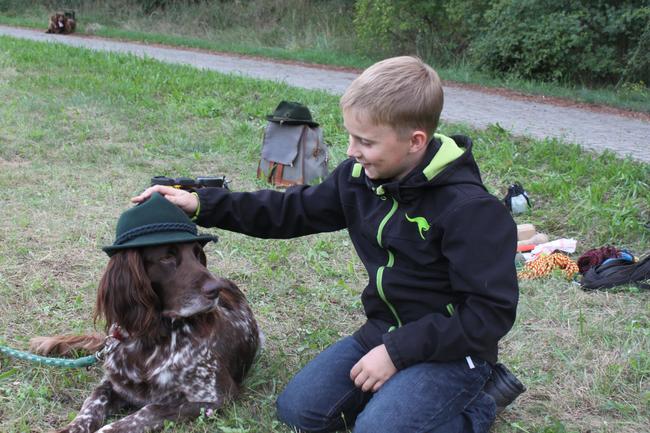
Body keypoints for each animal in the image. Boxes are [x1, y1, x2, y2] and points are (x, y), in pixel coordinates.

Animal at [29, 241, 258, 430]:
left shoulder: (216, 396)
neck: (152, 338)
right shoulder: (114, 383)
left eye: (197, 254)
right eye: (167, 257)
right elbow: (92, 403)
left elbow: (149, 411)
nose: (215, 289)